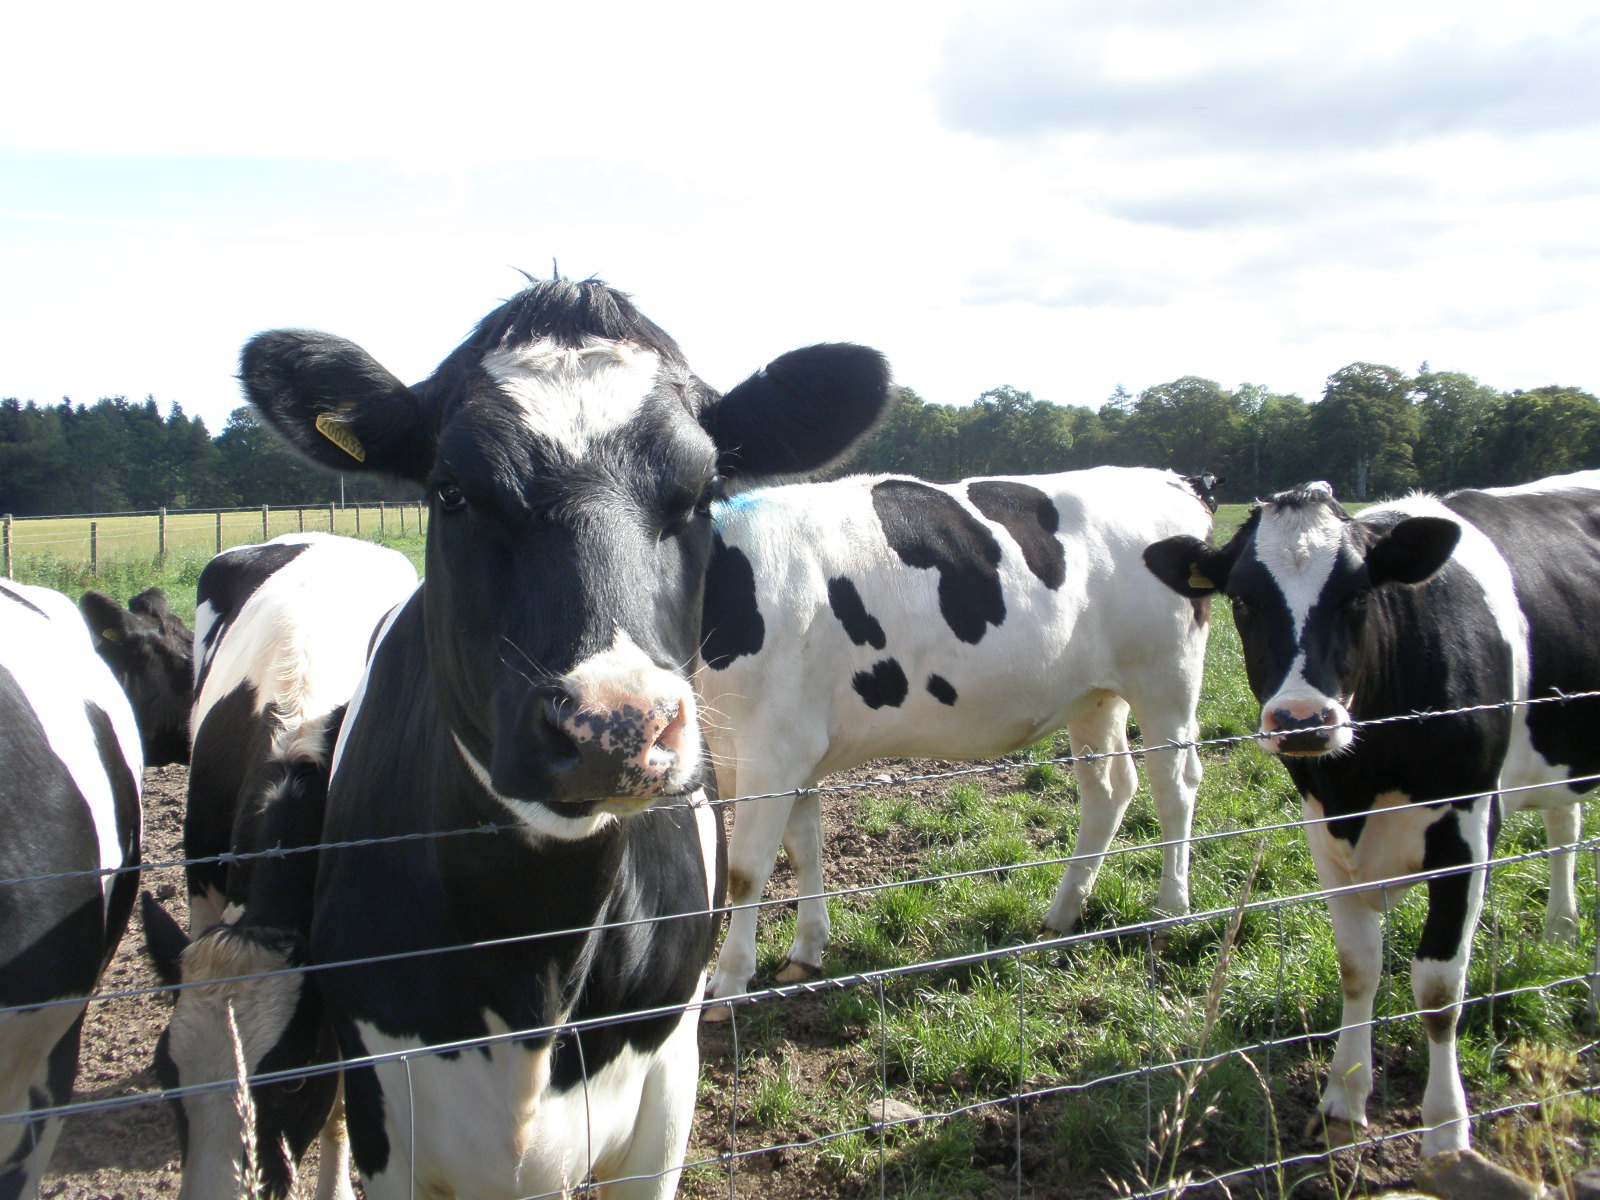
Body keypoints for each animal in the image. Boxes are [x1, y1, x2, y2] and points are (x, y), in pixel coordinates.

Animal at [236, 276, 896, 1196]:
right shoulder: (387, 1108)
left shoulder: (665, 1094)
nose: (615, 724)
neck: (535, 947)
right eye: (451, 490)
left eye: (702, 492)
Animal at [700, 464, 1209, 1011]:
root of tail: (1169, 478)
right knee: (1109, 789)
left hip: (1166, 681)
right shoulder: (791, 750)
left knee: (1174, 786)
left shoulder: (771, 750)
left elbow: (746, 871)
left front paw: (728, 983)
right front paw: (806, 953)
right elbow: (804, 850)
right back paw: (1062, 916)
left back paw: (1169, 912)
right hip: (1096, 696)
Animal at [1145, 473, 1600, 1158]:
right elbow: (1358, 967)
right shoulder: (1324, 831)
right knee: (1564, 827)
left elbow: (1439, 989)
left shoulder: (1468, 833)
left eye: (1358, 595)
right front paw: (1344, 1096)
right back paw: (1562, 928)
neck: (1364, 777)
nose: (1303, 719)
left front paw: (1446, 1130)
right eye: (1243, 601)